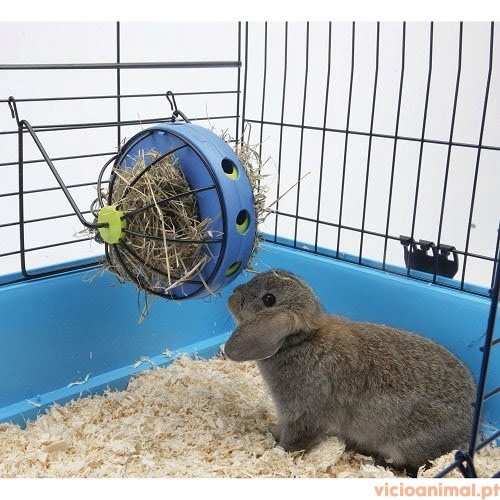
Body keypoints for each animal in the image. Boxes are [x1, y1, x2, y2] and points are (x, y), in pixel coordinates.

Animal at [224, 269, 476, 473]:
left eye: (269, 299)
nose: (233, 294)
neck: (300, 341)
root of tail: (468, 430)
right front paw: (270, 430)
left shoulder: (305, 415)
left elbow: (295, 441)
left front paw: (279, 449)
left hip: (407, 444)